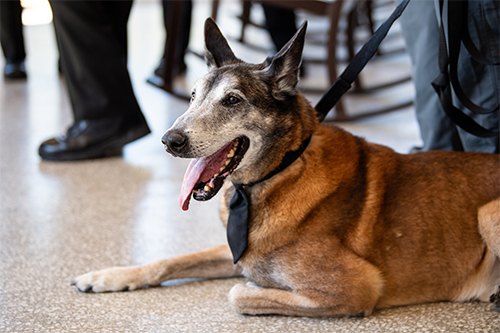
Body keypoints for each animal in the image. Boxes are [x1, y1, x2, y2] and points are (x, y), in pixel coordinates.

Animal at [71, 18, 500, 316]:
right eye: (192, 96)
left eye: (232, 100)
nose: (169, 140)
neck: (280, 171)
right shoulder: (234, 249)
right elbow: (168, 260)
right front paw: (107, 276)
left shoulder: (355, 287)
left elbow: (240, 292)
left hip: (488, 213)